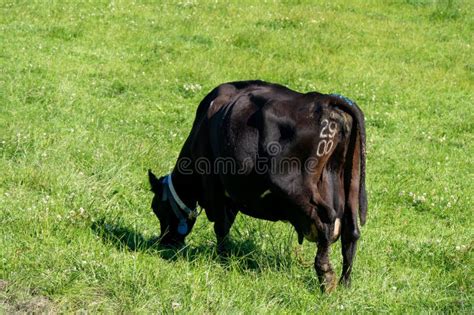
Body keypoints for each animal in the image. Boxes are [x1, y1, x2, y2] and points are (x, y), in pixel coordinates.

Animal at [149, 80, 366, 292]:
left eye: (158, 209)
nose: (164, 243)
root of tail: (326, 101)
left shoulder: (215, 186)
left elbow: (221, 227)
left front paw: (223, 260)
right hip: (350, 183)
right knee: (350, 231)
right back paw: (345, 283)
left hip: (295, 188)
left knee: (327, 221)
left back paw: (326, 277)